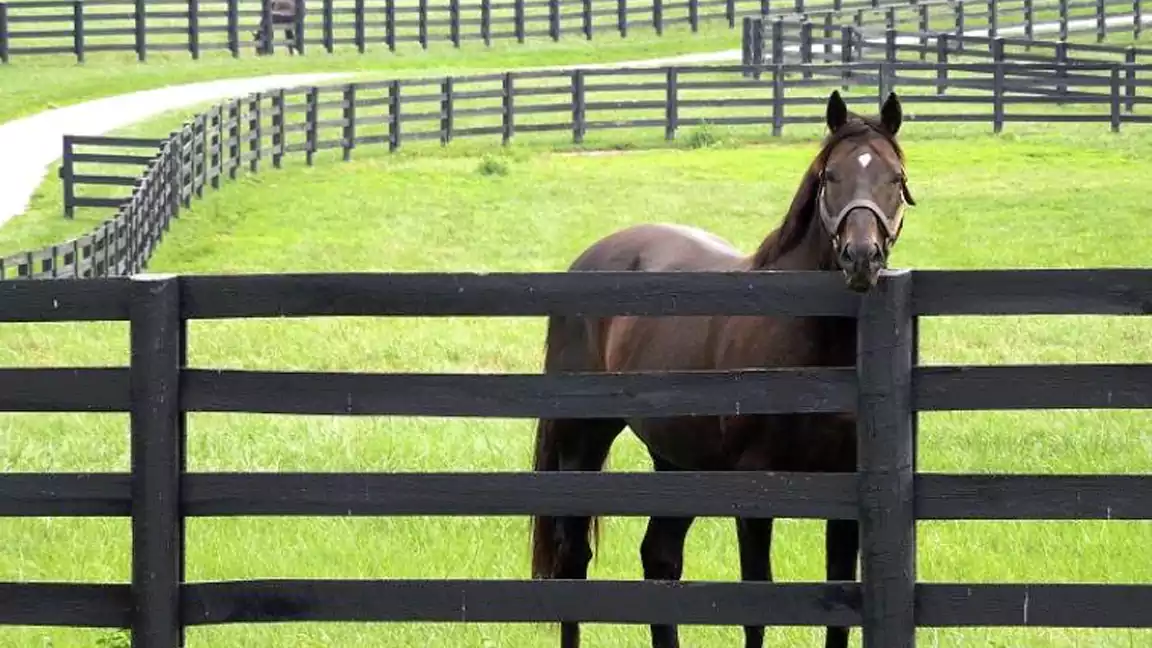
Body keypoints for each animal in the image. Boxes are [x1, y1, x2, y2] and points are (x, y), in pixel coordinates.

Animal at [529, 91, 916, 645]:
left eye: (895, 178)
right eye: (831, 175)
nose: (861, 256)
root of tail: (589, 260)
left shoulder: (844, 487)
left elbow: (838, 603)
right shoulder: (754, 486)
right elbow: (755, 602)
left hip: (679, 461)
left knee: (660, 557)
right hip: (583, 443)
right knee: (572, 559)